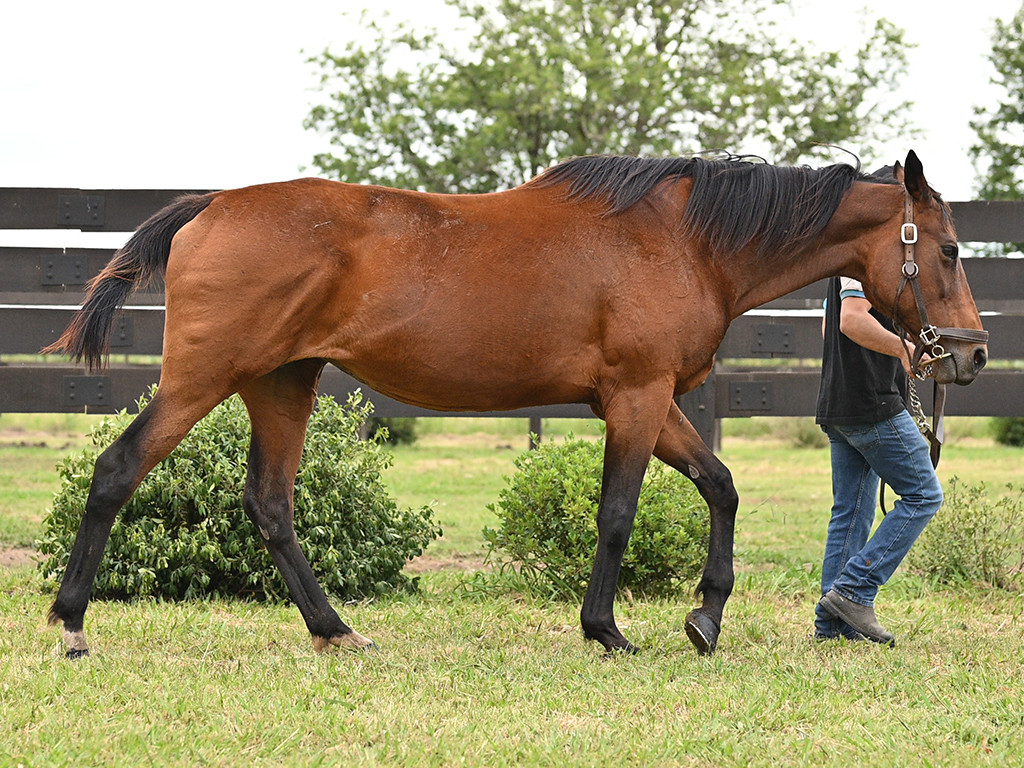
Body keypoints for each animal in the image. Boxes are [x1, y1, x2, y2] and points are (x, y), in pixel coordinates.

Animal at [45, 150, 988, 659]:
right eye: (946, 249)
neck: (684, 241)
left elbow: (720, 487)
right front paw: (607, 630)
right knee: (118, 470)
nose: (972, 354)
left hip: (283, 383)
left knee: (270, 505)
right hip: (203, 380)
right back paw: (72, 624)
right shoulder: (636, 399)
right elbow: (617, 514)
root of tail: (214, 205)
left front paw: (705, 617)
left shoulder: (653, 402)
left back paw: (336, 630)